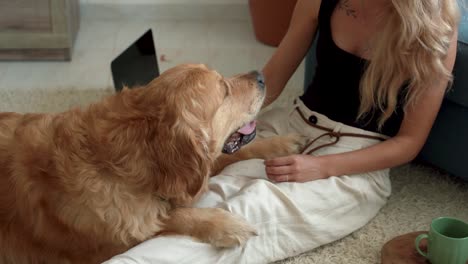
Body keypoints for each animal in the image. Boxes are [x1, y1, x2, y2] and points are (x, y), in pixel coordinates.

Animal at [0, 64, 300, 264]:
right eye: (224, 90)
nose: (261, 75)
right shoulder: (112, 243)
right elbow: (169, 219)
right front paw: (225, 224)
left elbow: (227, 155)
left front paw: (279, 144)